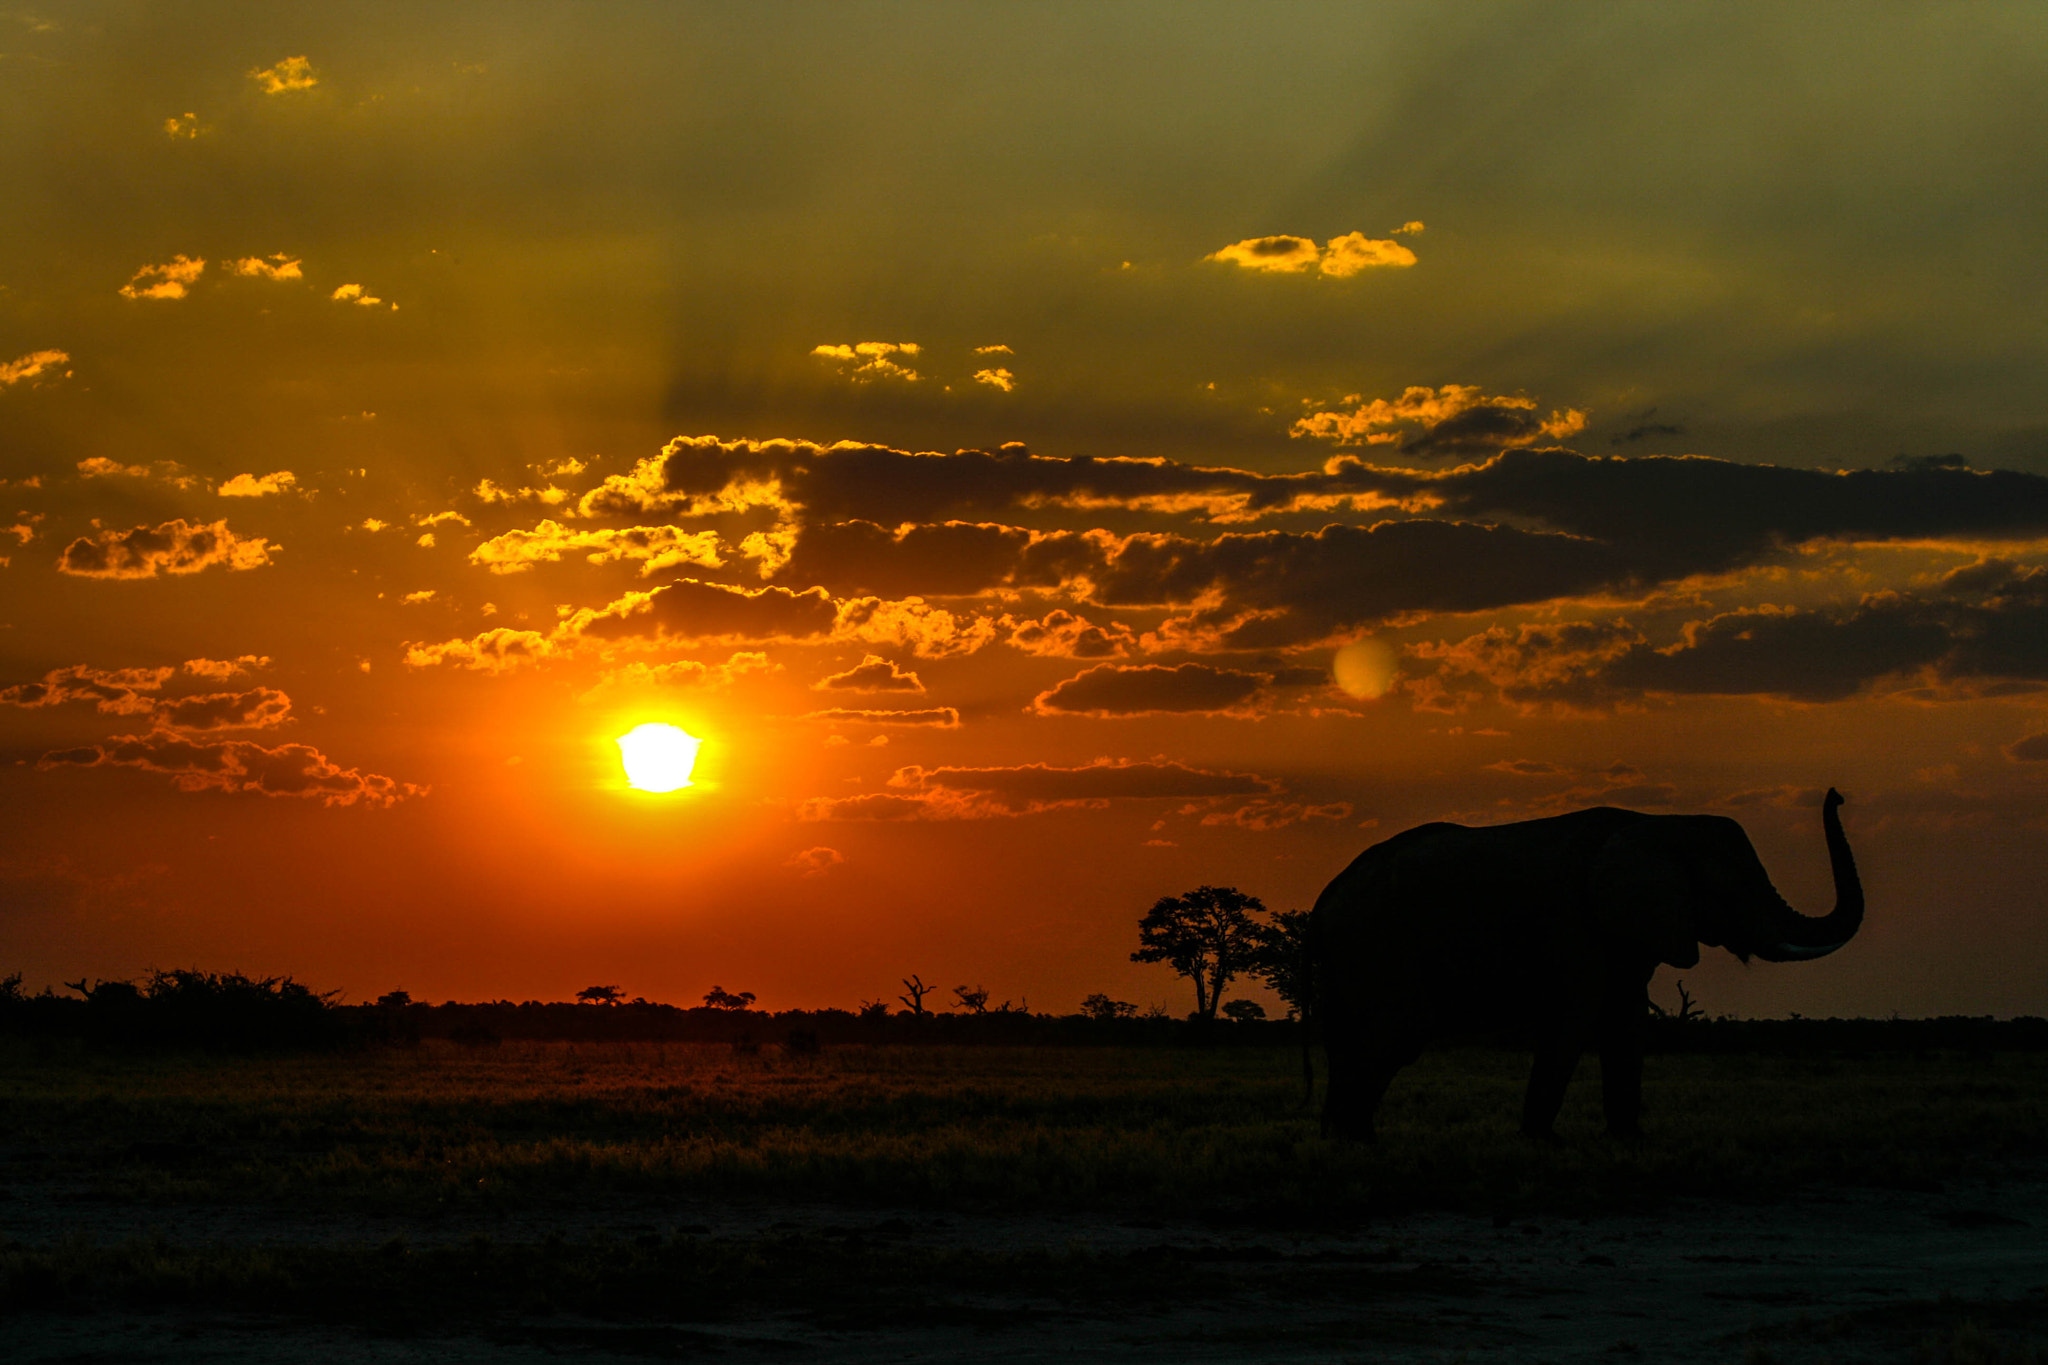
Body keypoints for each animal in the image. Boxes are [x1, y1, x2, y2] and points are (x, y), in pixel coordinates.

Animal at [1310, 789, 1859, 1146]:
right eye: (1730, 888)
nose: (1837, 795)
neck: (1660, 822)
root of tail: (1328, 896)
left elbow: (1627, 1023)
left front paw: (1631, 1139)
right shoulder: (1574, 927)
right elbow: (1574, 1020)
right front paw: (1542, 1142)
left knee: (1356, 1039)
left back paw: (1344, 1136)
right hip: (1381, 944)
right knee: (1393, 1037)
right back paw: (1360, 1139)